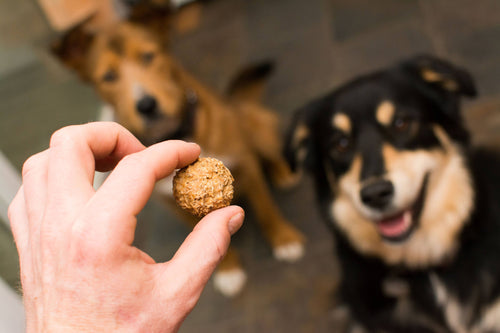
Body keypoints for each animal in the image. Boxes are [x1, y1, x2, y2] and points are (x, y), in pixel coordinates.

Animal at [51, 20, 304, 296]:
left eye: (148, 56)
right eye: (108, 76)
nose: (146, 105)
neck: (178, 132)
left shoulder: (246, 164)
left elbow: (267, 210)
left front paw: (284, 238)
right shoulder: (170, 203)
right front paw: (228, 269)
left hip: (253, 124)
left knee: (268, 149)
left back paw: (282, 172)